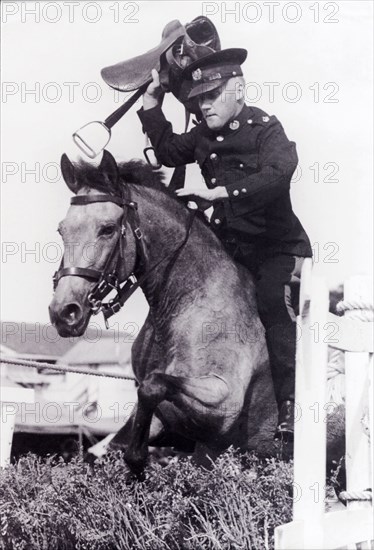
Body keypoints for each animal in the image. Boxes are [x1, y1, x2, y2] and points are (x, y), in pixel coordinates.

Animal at [49, 152, 342, 478]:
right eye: (62, 230)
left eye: (108, 229)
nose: (64, 312)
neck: (184, 302)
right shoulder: (169, 423)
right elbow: (111, 443)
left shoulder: (220, 406)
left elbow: (153, 386)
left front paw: (137, 462)